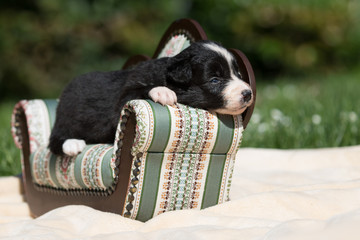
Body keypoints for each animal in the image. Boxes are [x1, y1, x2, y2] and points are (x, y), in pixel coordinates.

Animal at [48, 40, 253, 157]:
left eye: (237, 73)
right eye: (215, 80)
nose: (248, 93)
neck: (166, 76)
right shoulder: (125, 95)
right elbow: (138, 90)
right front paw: (163, 92)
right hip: (67, 117)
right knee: (54, 140)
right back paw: (72, 143)